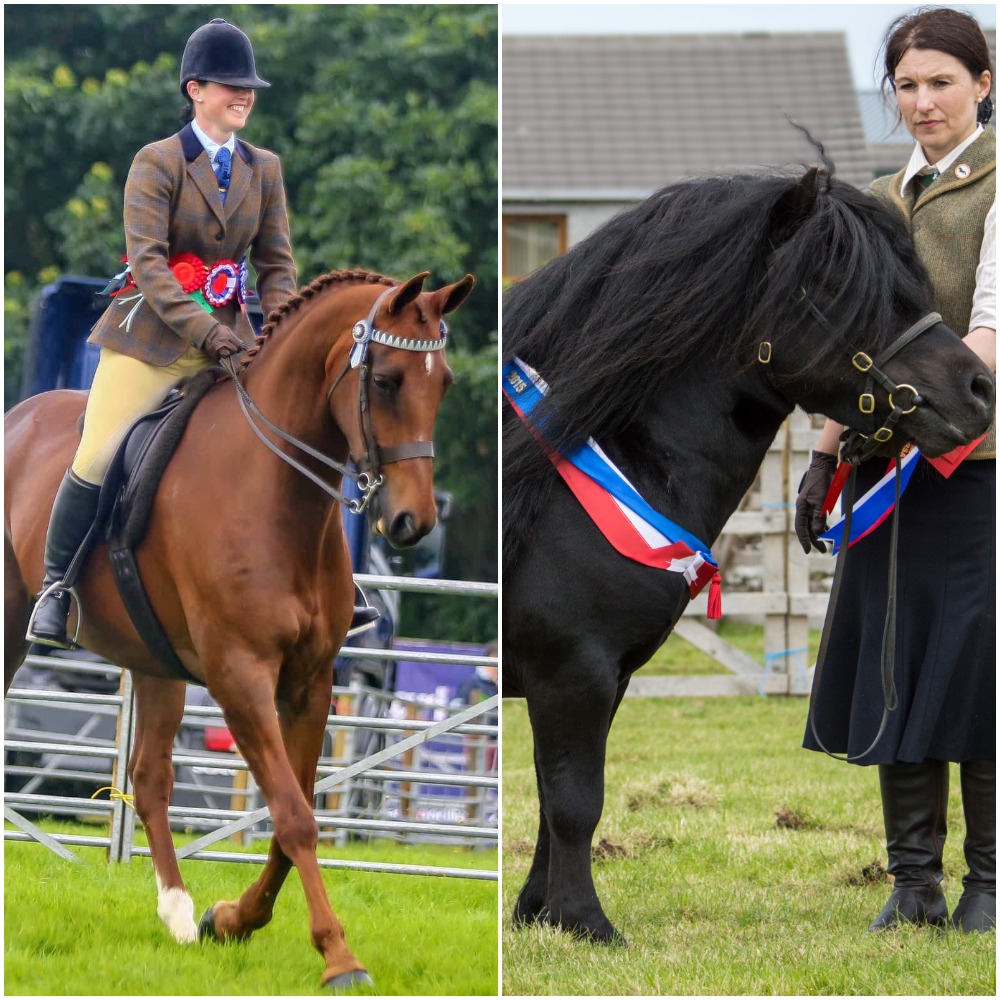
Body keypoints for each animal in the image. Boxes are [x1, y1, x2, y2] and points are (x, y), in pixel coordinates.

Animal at [5, 266, 474, 990]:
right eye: (389, 380)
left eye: (444, 381)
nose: (410, 523)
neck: (277, 491)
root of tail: (18, 416)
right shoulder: (239, 676)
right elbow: (294, 815)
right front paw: (339, 958)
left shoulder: (309, 681)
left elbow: (293, 811)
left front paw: (230, 920)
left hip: (155, 662)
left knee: (150, 777)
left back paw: (176, 912)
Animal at [501, 164, 995, 943]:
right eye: (841, 287)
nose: (978, 389)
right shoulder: (572, 672)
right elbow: (576, 799)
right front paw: (587, 923)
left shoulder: (598, 678)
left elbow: (556, 803)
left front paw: (540, 914)